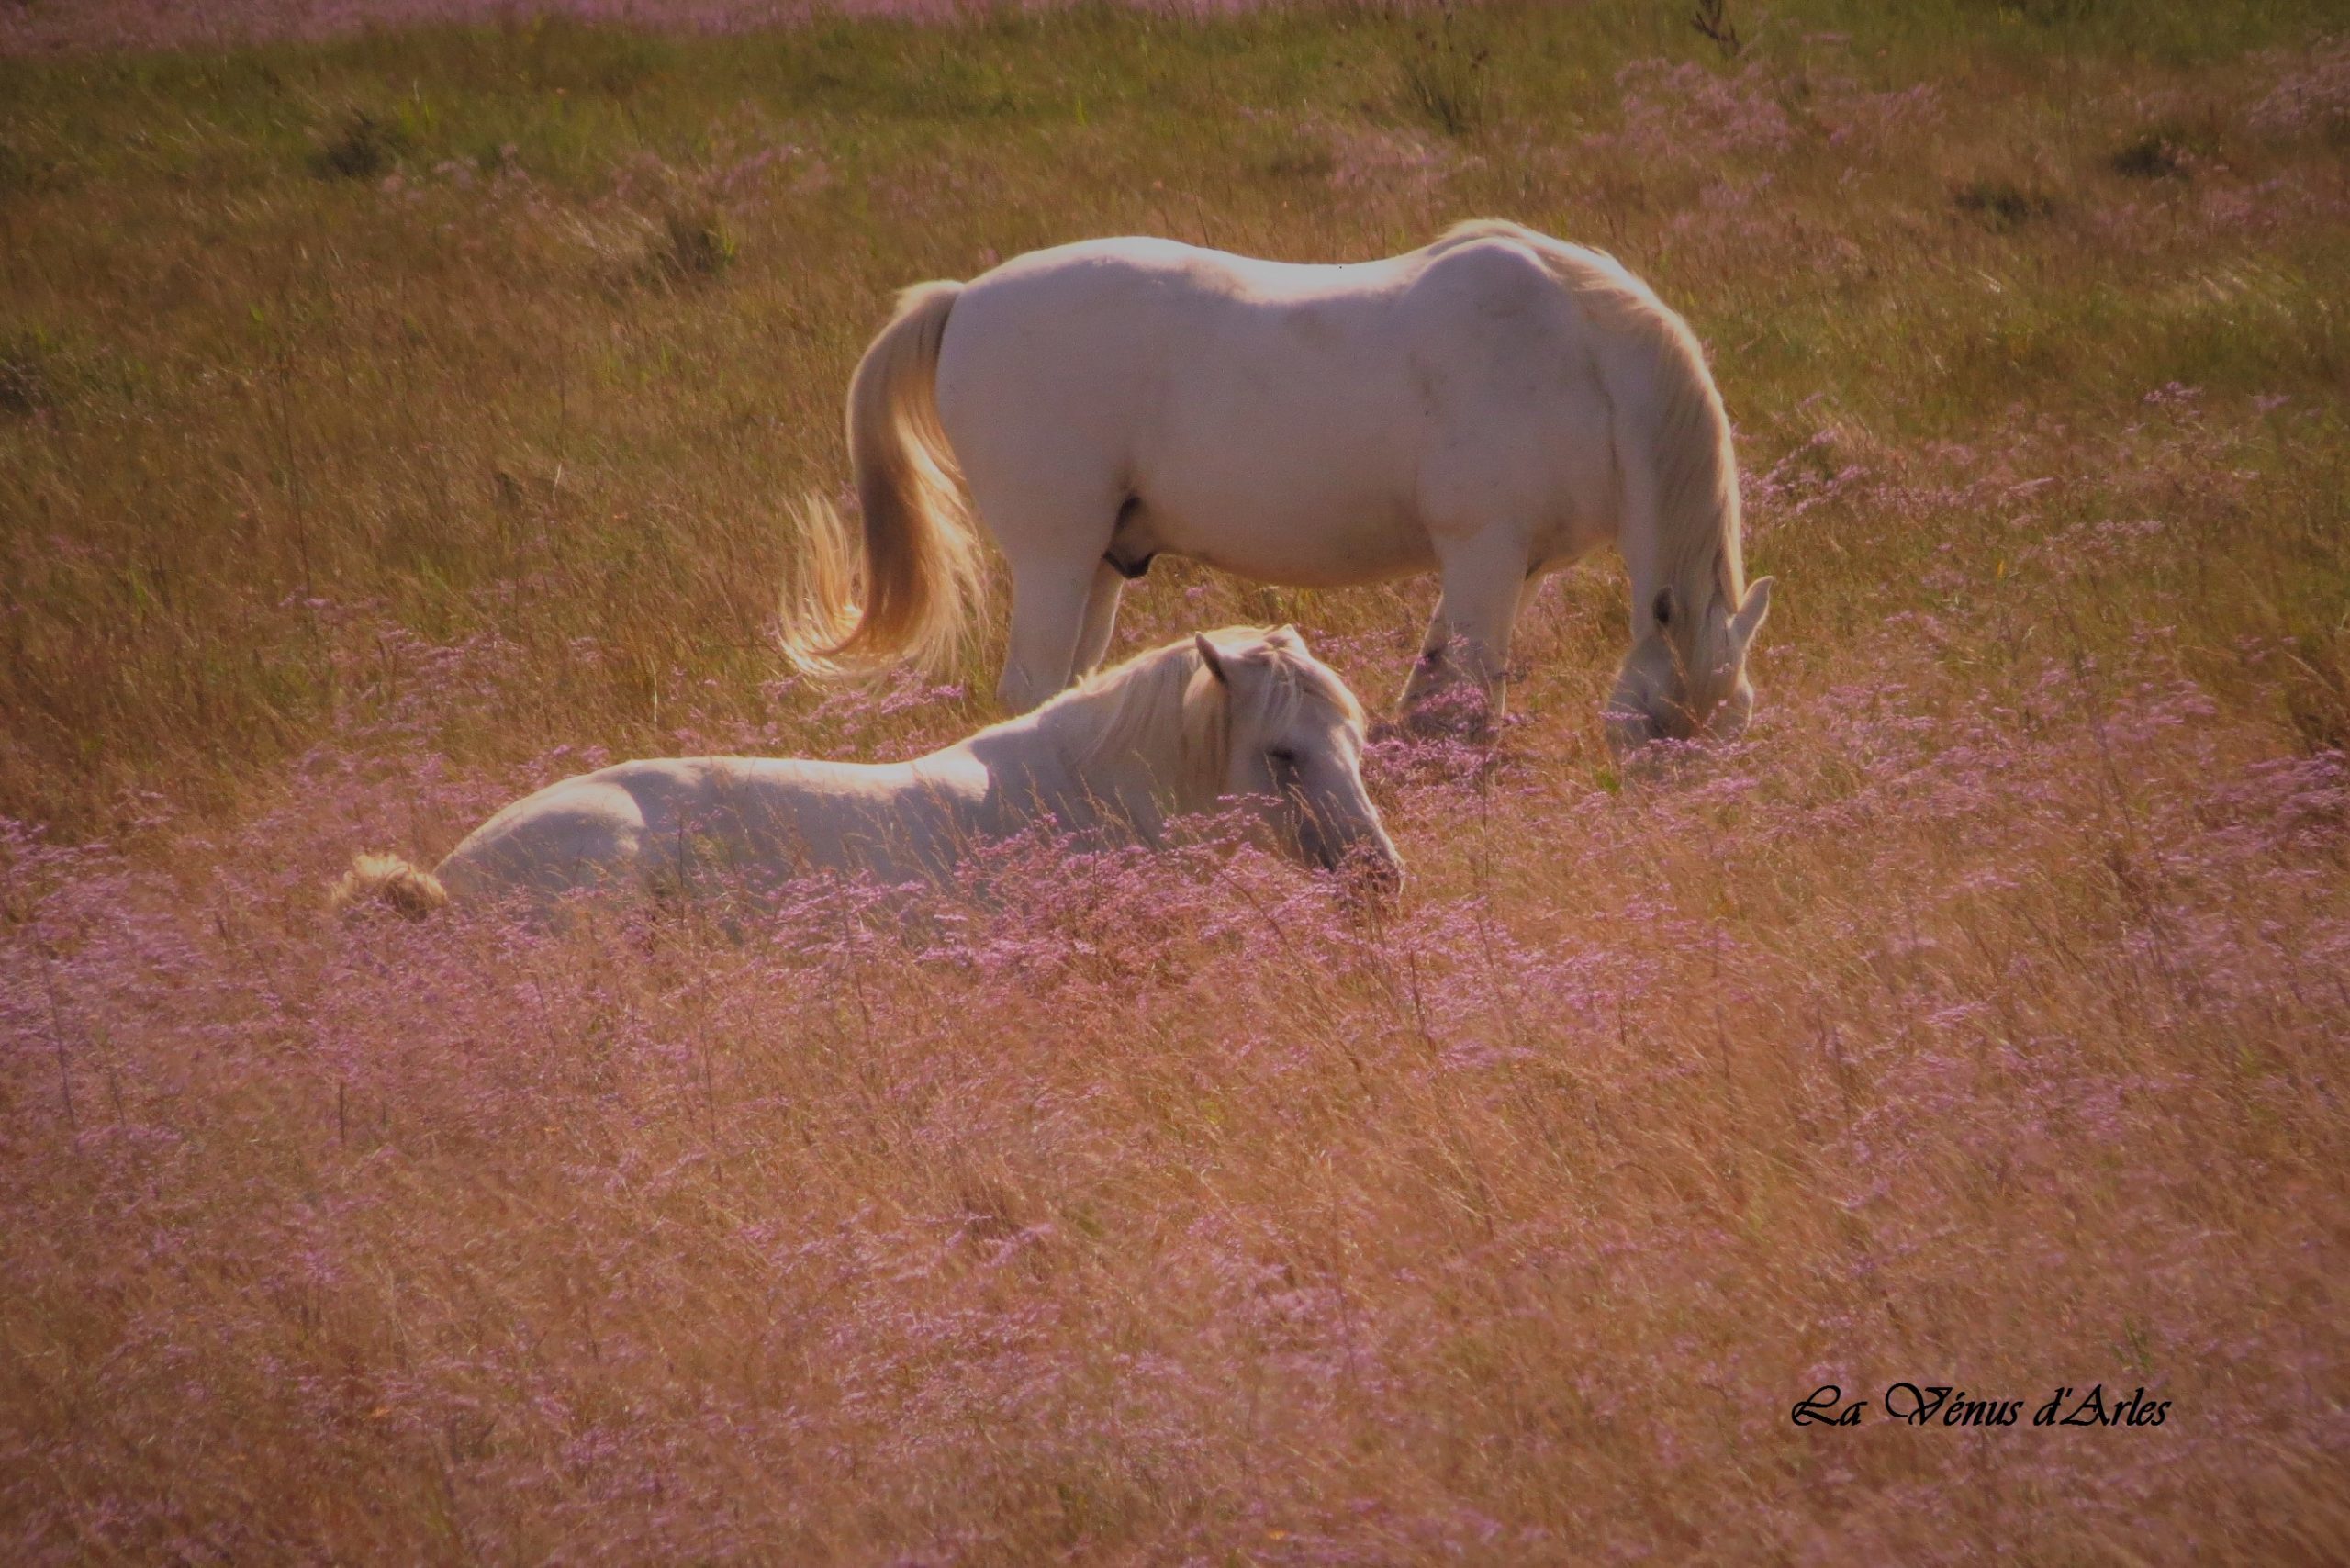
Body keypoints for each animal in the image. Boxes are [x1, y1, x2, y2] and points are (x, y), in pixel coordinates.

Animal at [779, 217, 1767, 752]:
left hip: (1098, 566)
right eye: (1665, 727)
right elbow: (1468, 705)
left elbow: (1437, 693)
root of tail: (964, 301)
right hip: (1057, 558)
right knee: (1030, 688)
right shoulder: (1483, 554)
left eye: (1735, 721)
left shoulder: (1504, 569)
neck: (1577, 353)